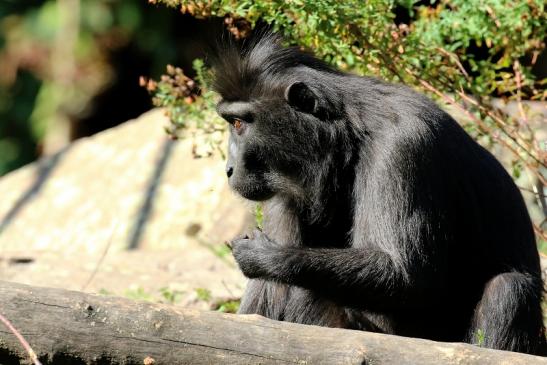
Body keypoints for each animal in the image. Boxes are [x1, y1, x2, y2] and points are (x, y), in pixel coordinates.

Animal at [212, 32, 544, 354]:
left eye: (239, 123)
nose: (228, 169)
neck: (347, 135)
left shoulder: (402, 146)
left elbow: (409, 276)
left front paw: (265, 257)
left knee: (509, 288)